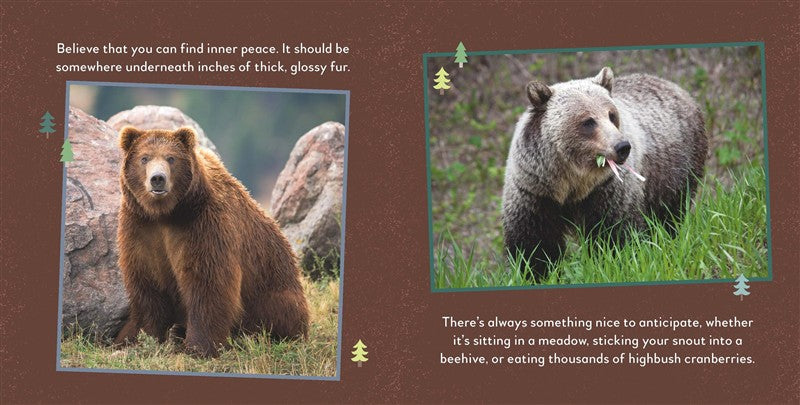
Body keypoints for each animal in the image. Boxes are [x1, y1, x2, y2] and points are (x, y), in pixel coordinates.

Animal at [112, 126, 310, 357]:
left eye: (171, 158)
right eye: (144, 158)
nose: (157, 178)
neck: (167, 213)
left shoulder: (204, 225)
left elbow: (208, 283)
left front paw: (199, 346)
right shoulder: (141, 228)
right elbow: (146, 282)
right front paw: (140, 337)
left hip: (274, 290)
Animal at [502, 67, 707, 280]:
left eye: (611, 115)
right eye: (588, 121)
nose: (622, 146)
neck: (570, 181)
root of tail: (674, 86)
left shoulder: (606, 188)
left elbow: (613, 233)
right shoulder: (535, 191)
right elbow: (534, 243)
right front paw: (535, 273)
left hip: (675, 168)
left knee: (671, 211)